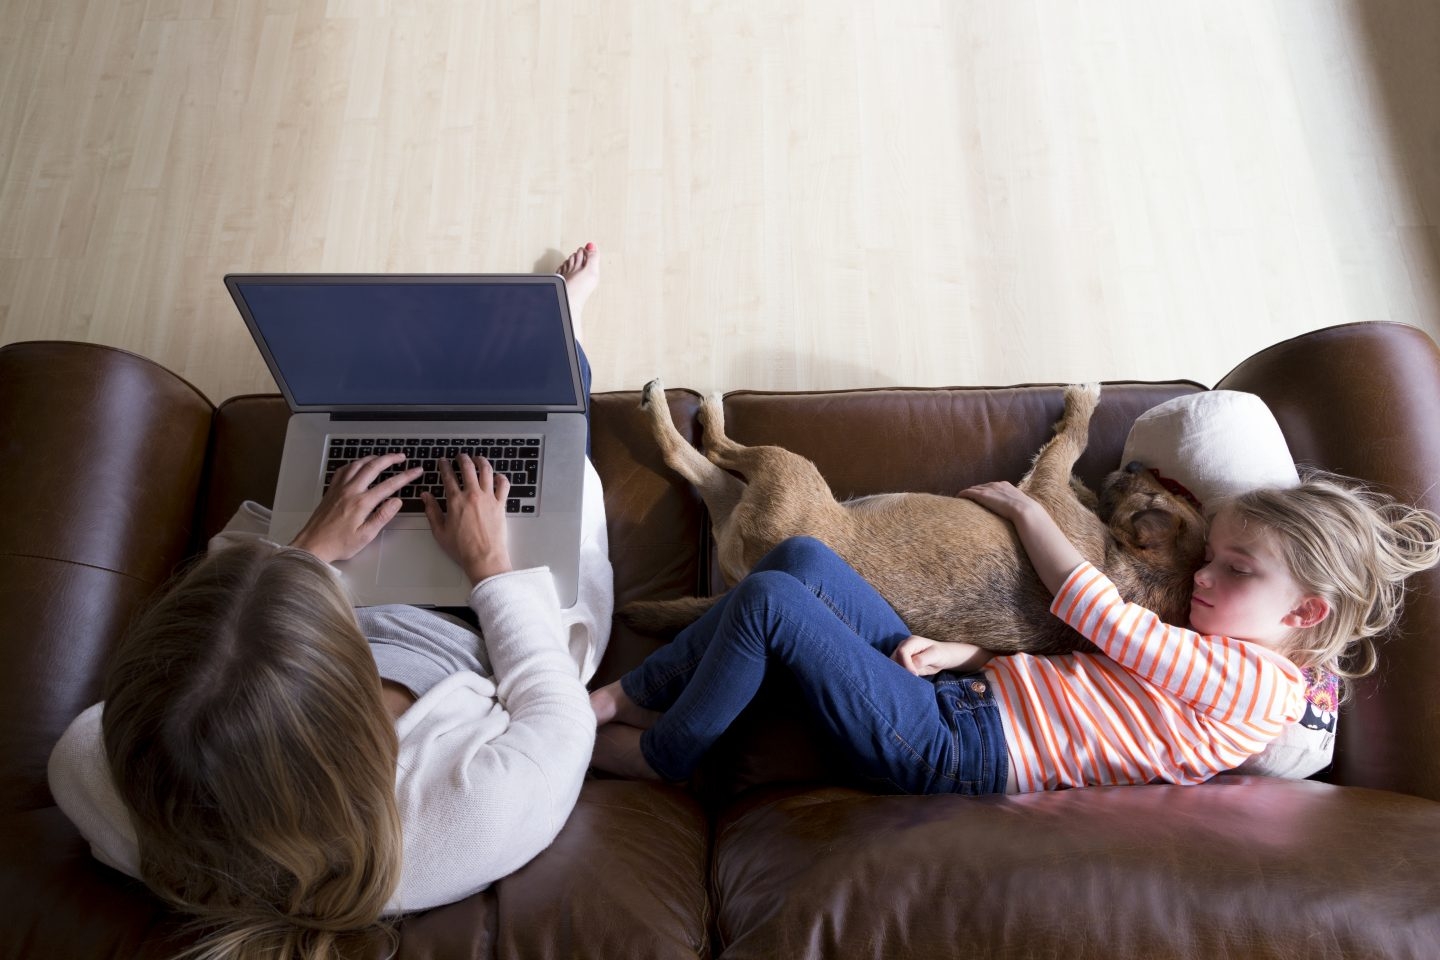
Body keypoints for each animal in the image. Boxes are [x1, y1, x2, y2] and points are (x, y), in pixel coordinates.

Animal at [624, 379, 1209, 656]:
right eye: (1173, 490)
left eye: (1154, 493)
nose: (1131, 465)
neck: (1132, 571)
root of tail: (750, 571)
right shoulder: (1051, 489)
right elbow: (1069, 459)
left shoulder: (1042, 491)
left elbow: (1071, 441)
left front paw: (1081, 406)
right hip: (748, 493)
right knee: (700, 460)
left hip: (785, 471)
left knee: (704, 450)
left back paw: (683, 405)